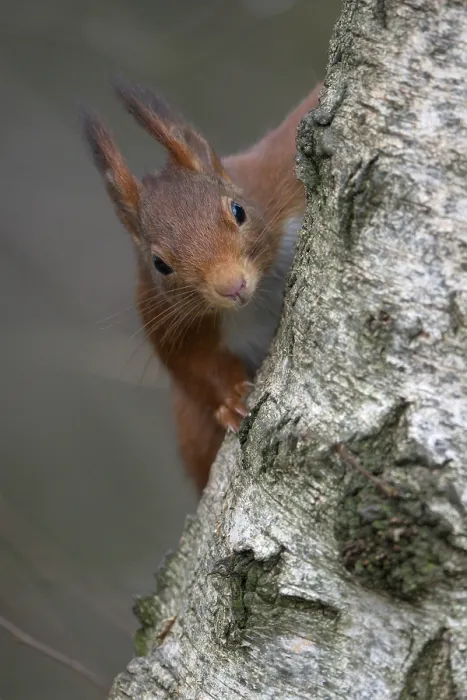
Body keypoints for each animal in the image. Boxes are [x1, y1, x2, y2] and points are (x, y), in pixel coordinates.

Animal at [83, 79, 322, 493]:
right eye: (160, 264)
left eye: (238, 210)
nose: (233, 286)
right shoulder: (166, 318)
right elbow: (195, 369)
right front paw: (230, 401)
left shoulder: (279, 175)